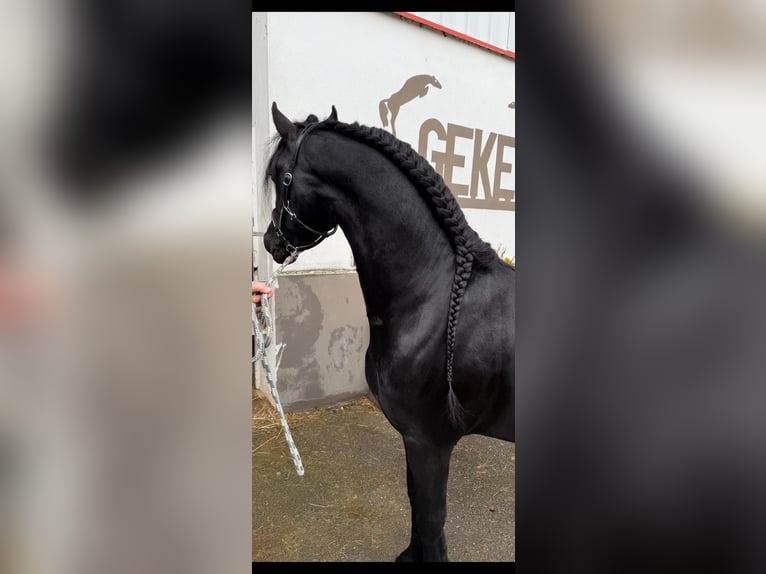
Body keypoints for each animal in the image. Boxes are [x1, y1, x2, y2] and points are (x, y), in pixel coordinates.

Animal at [262, 102, 515, 562]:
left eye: (279, 176)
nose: (271, 241)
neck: (433, 301)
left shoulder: (431, 443)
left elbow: (431, 517)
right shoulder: (414, 441)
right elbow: (417, 508)